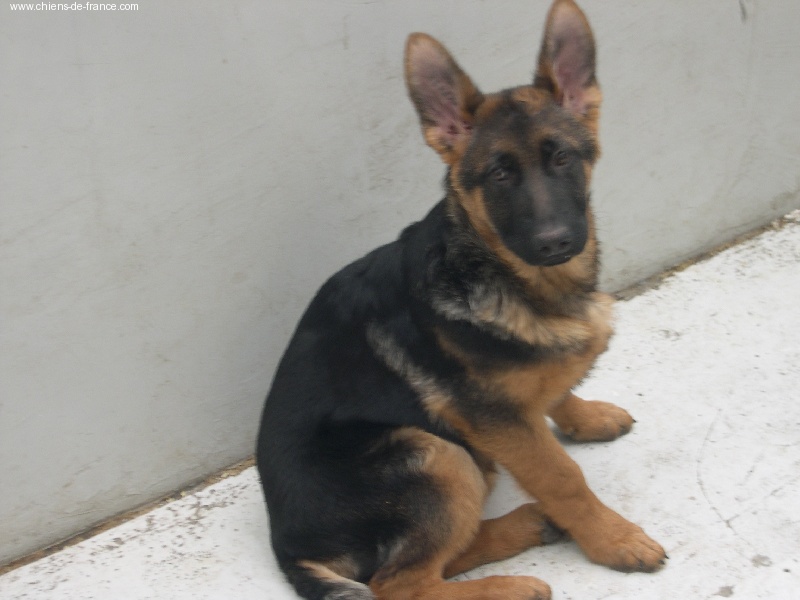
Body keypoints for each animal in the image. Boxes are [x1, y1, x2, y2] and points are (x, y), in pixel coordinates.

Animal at [255, 2, 664, 596]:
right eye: (498, 175)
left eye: (563, 159)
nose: (555, 244)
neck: (499, 270)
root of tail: (288, 550)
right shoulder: (492, 418)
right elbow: (562, 475)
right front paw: (613, 538)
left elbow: (554, 390)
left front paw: (582, 416)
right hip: (436, 453)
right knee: (403, 582)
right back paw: (511, 583)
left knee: (443, 555)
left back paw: (529, 525)